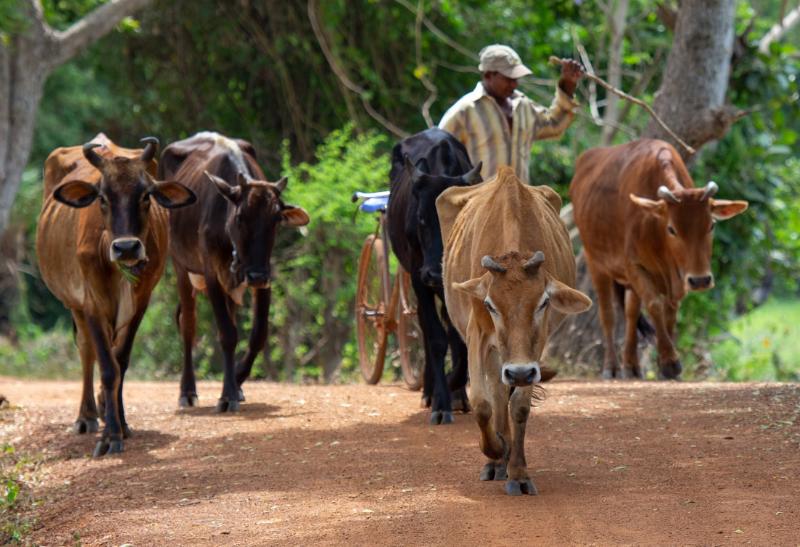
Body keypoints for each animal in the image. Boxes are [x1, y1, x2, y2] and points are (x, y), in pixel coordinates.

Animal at [34, 135, 198, 456]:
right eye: (102, 198)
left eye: (146, 196)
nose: (126, 248)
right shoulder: (91, 302)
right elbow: (107, 367)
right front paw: (109, 435)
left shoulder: (141, 302)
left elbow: (120, 362)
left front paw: (120, 425)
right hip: (74, 304)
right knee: (87, 351)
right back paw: (86, 416)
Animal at [159, 133, 310, 414]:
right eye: (240, 217)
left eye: (276, 220)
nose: (255, 276)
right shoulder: (211, 275)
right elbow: (227, 334)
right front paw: (227, 394)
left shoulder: (264, 278)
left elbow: (258, 335)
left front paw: (236, 381)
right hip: (181, 267)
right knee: (188, 326)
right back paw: (187, 391)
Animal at [388, 127, 482, 424]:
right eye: (420, 218)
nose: (434, 273)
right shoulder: (418, 279)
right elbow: (437, 339)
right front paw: (441, 402)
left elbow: (460, 339)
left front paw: (456, 388)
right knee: (428, 331)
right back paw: (429, 393)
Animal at [434, 168, 592, 496]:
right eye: (490, 305)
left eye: (543, 302)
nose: (519, 372)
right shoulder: (477, 334)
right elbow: (482, 404)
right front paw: (495, 451)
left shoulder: (534, 348)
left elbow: (518, 406)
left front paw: (518, 472)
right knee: (495, 392)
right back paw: (497, 459)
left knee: (502, 393)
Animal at [568, 140, 752, 382]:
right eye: (672, 229)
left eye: (711, 225)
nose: (700, 280)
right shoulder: (634, 266)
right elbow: (655, 305)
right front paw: (670, 363)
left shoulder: (677, 279)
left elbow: (669, 312)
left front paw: (666, 363)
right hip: (595, 262)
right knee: (608, 315)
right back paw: (612, 366)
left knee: (630, 313)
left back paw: (632, 366)